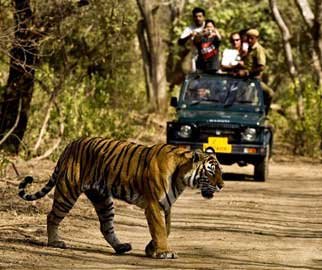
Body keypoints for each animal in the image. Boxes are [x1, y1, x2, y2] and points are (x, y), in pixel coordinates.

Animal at [18, 137, 224, 260]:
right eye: (211, 171)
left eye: (220, 171)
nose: (222, 185)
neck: (181, 176)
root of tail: (71, 143)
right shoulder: (154, 204)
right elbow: (159, 229)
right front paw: (164, 252)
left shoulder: (167, 206)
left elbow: (166, 229)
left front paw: (152, 249)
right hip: (68, 191)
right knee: (52, 216)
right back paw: (55, 242)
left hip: (103, 199)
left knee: (106, 226)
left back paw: (121, 247)